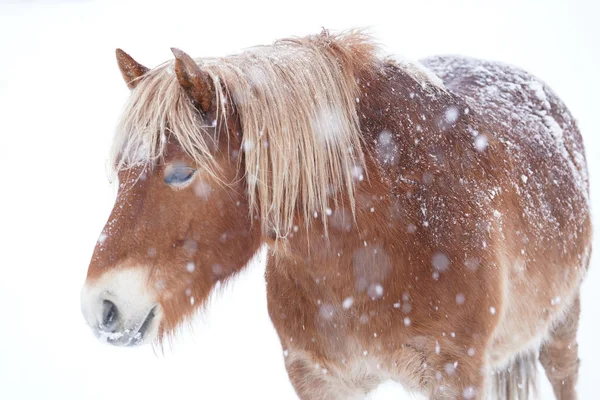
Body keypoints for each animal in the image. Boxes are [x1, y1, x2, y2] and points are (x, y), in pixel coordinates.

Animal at [79, 29, 592, 398]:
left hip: (562, 320)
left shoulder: (456, 375)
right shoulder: (318, 378)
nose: (101, 308)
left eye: (182, 173)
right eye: (121, 173)